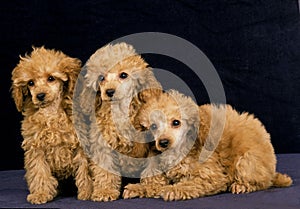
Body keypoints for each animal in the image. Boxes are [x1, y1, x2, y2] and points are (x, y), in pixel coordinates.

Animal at [10, 45, 92, 204]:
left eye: (51, 78)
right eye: (31, 83)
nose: (40, 95)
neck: (51, 112)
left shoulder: (81, 145)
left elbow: (84, 169)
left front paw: (87, 191)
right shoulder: (36, 148)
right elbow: (39, 171)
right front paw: (41, 193)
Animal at [78, 42, 163, 201]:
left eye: (123, 75)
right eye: (101, 78)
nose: (110, 92)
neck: (120, 110)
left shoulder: (152, 146)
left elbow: (153, 167)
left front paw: (152, 187)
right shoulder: (102, 145)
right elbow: (105, 167)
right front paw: (105, 190)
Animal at [123, 89, 292, 201]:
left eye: (176, 122)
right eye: (153, 126)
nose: (163, 142)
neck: (179, 149)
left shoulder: (212, 175)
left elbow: (191, 183)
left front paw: (172, 189)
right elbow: (155, 182)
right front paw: (138, 188)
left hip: (248, 161)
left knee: (261, 182)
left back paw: (242, 185)